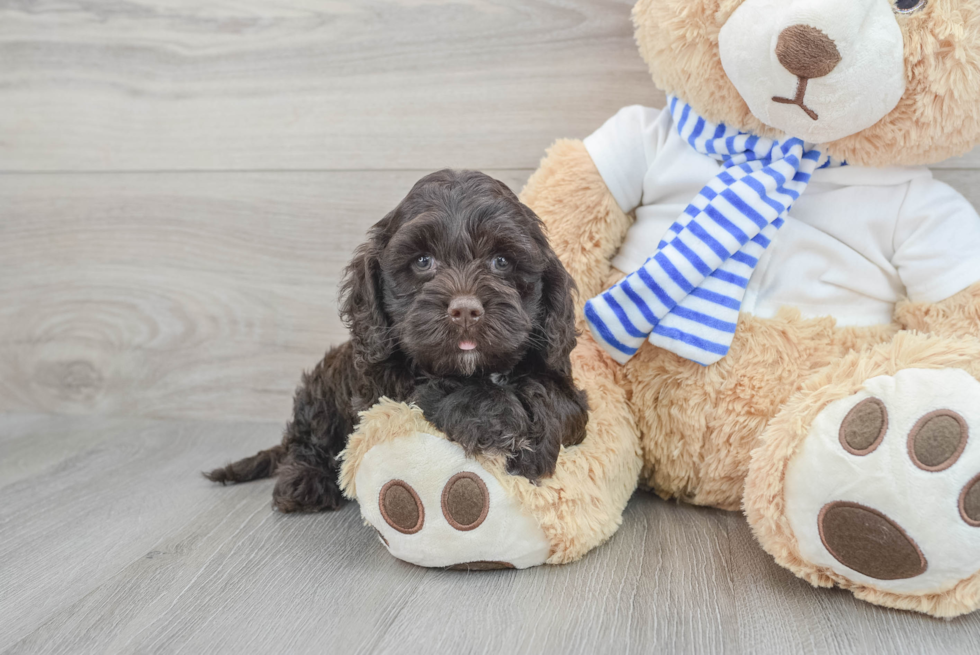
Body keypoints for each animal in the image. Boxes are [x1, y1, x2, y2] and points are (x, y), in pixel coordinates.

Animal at [206, 170, 584, 512]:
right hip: (320, 395)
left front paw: (535, 435)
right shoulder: (384, 387)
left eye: (501, 261)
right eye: (423, 261)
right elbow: (436, 386)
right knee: (307, 441)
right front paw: (501, 420)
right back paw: (304, 482)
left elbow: (559, 398)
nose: (465, 310)